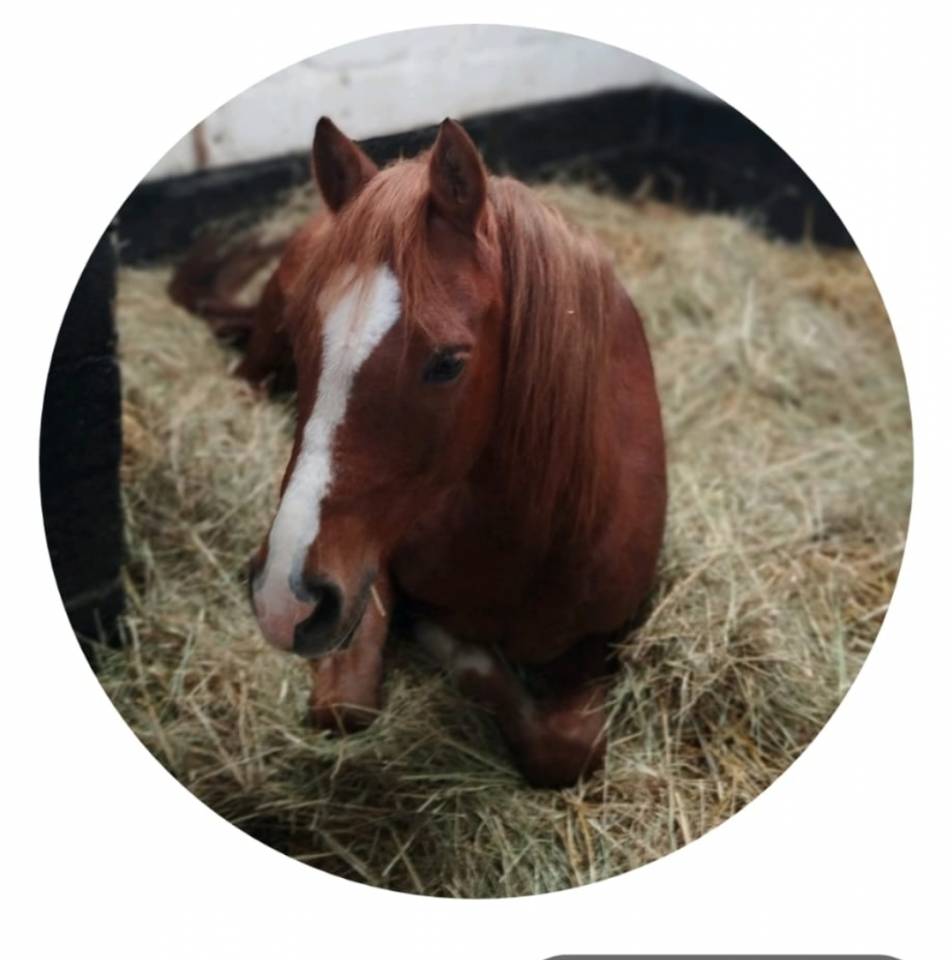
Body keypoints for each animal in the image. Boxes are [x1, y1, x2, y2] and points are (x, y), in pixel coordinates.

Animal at [176, 117, 667, 787]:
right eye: (305, 343)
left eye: (449, 363)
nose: (286, 597)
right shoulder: (368, 569)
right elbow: (348, 701)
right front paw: (453, 645)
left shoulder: (603, 637)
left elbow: (569, 751)